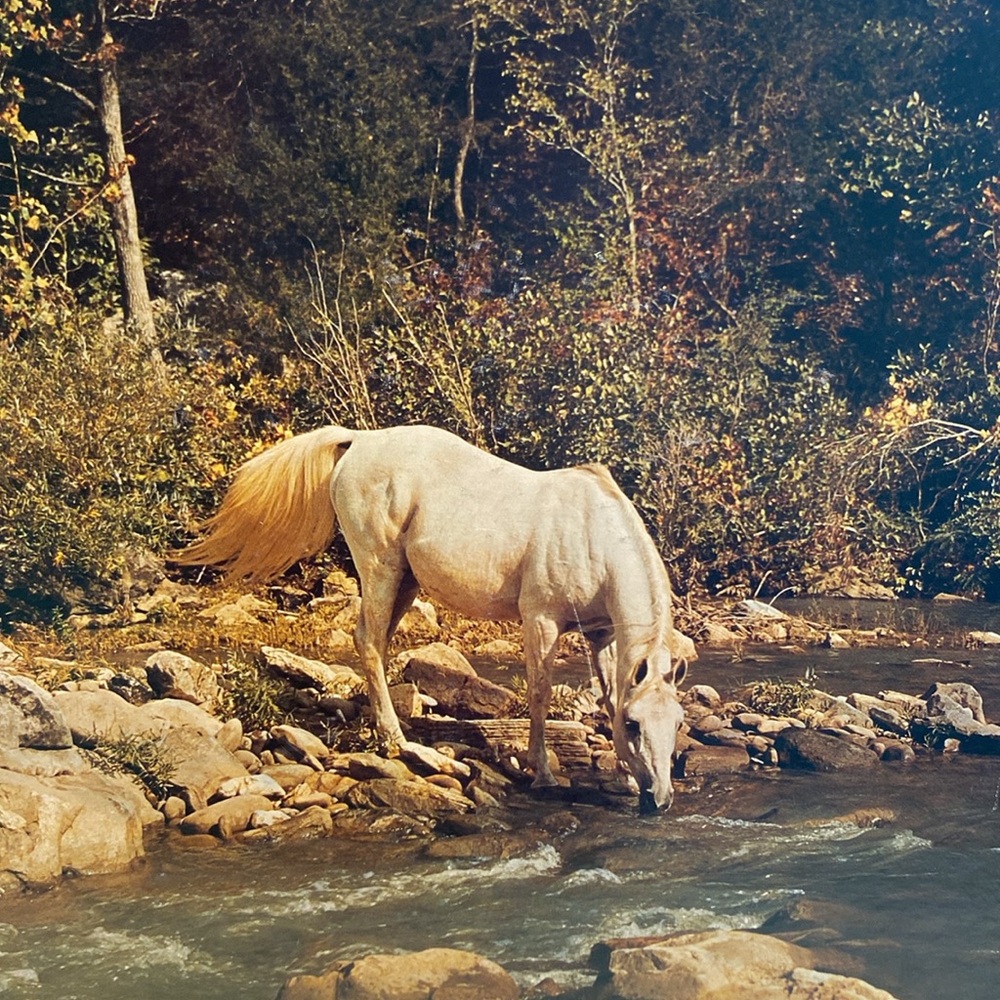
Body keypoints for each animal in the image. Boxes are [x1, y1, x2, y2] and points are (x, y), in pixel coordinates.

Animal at [176, 424, 689, 812]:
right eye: (637, 725)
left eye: (676, 722)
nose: (659, 800)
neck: (589, 532)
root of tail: (359, 440)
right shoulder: (540, 621)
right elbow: (540, 693)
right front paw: (542, 773)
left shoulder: (602, 634)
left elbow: (610, 696)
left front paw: (623, 778)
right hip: (381, 571)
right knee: (367, 641)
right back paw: (395, 740)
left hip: (404, 583)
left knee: (377, 644)